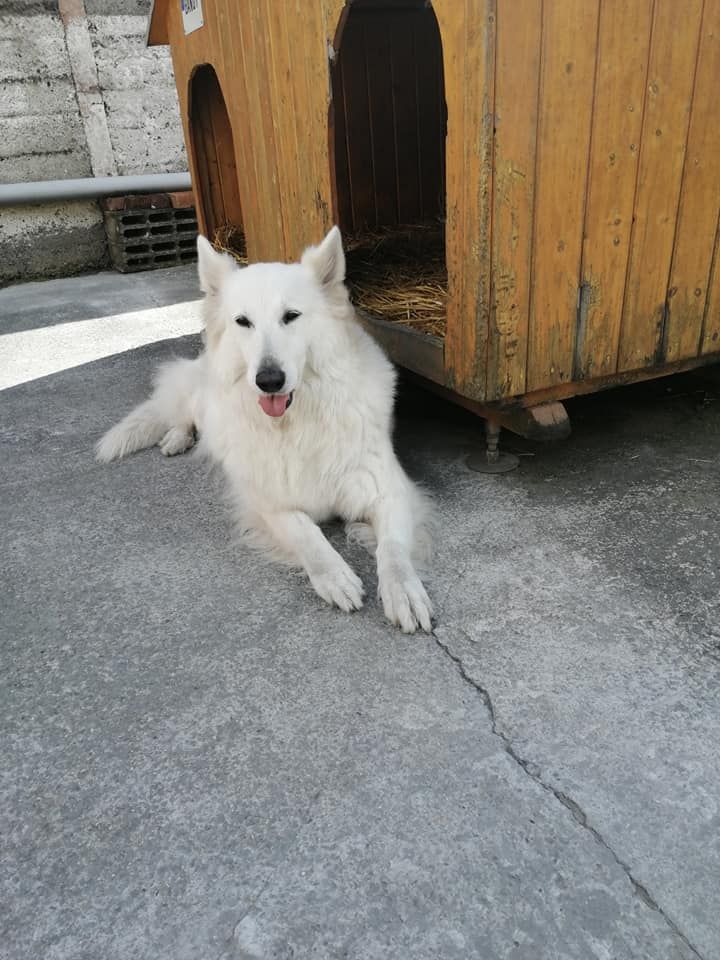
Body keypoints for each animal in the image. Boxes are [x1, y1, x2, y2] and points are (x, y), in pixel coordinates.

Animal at [96, 226, 434, 633]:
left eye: (291, 316)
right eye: (244, 322)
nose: (269, 380)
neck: (297, 424)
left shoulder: (389, 492)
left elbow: (393, 551)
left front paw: (403, 591)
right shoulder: (270, 503)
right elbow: (309, 535)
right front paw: (334, 575)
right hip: (203, 397)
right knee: (186, 413)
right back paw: (177, 437)